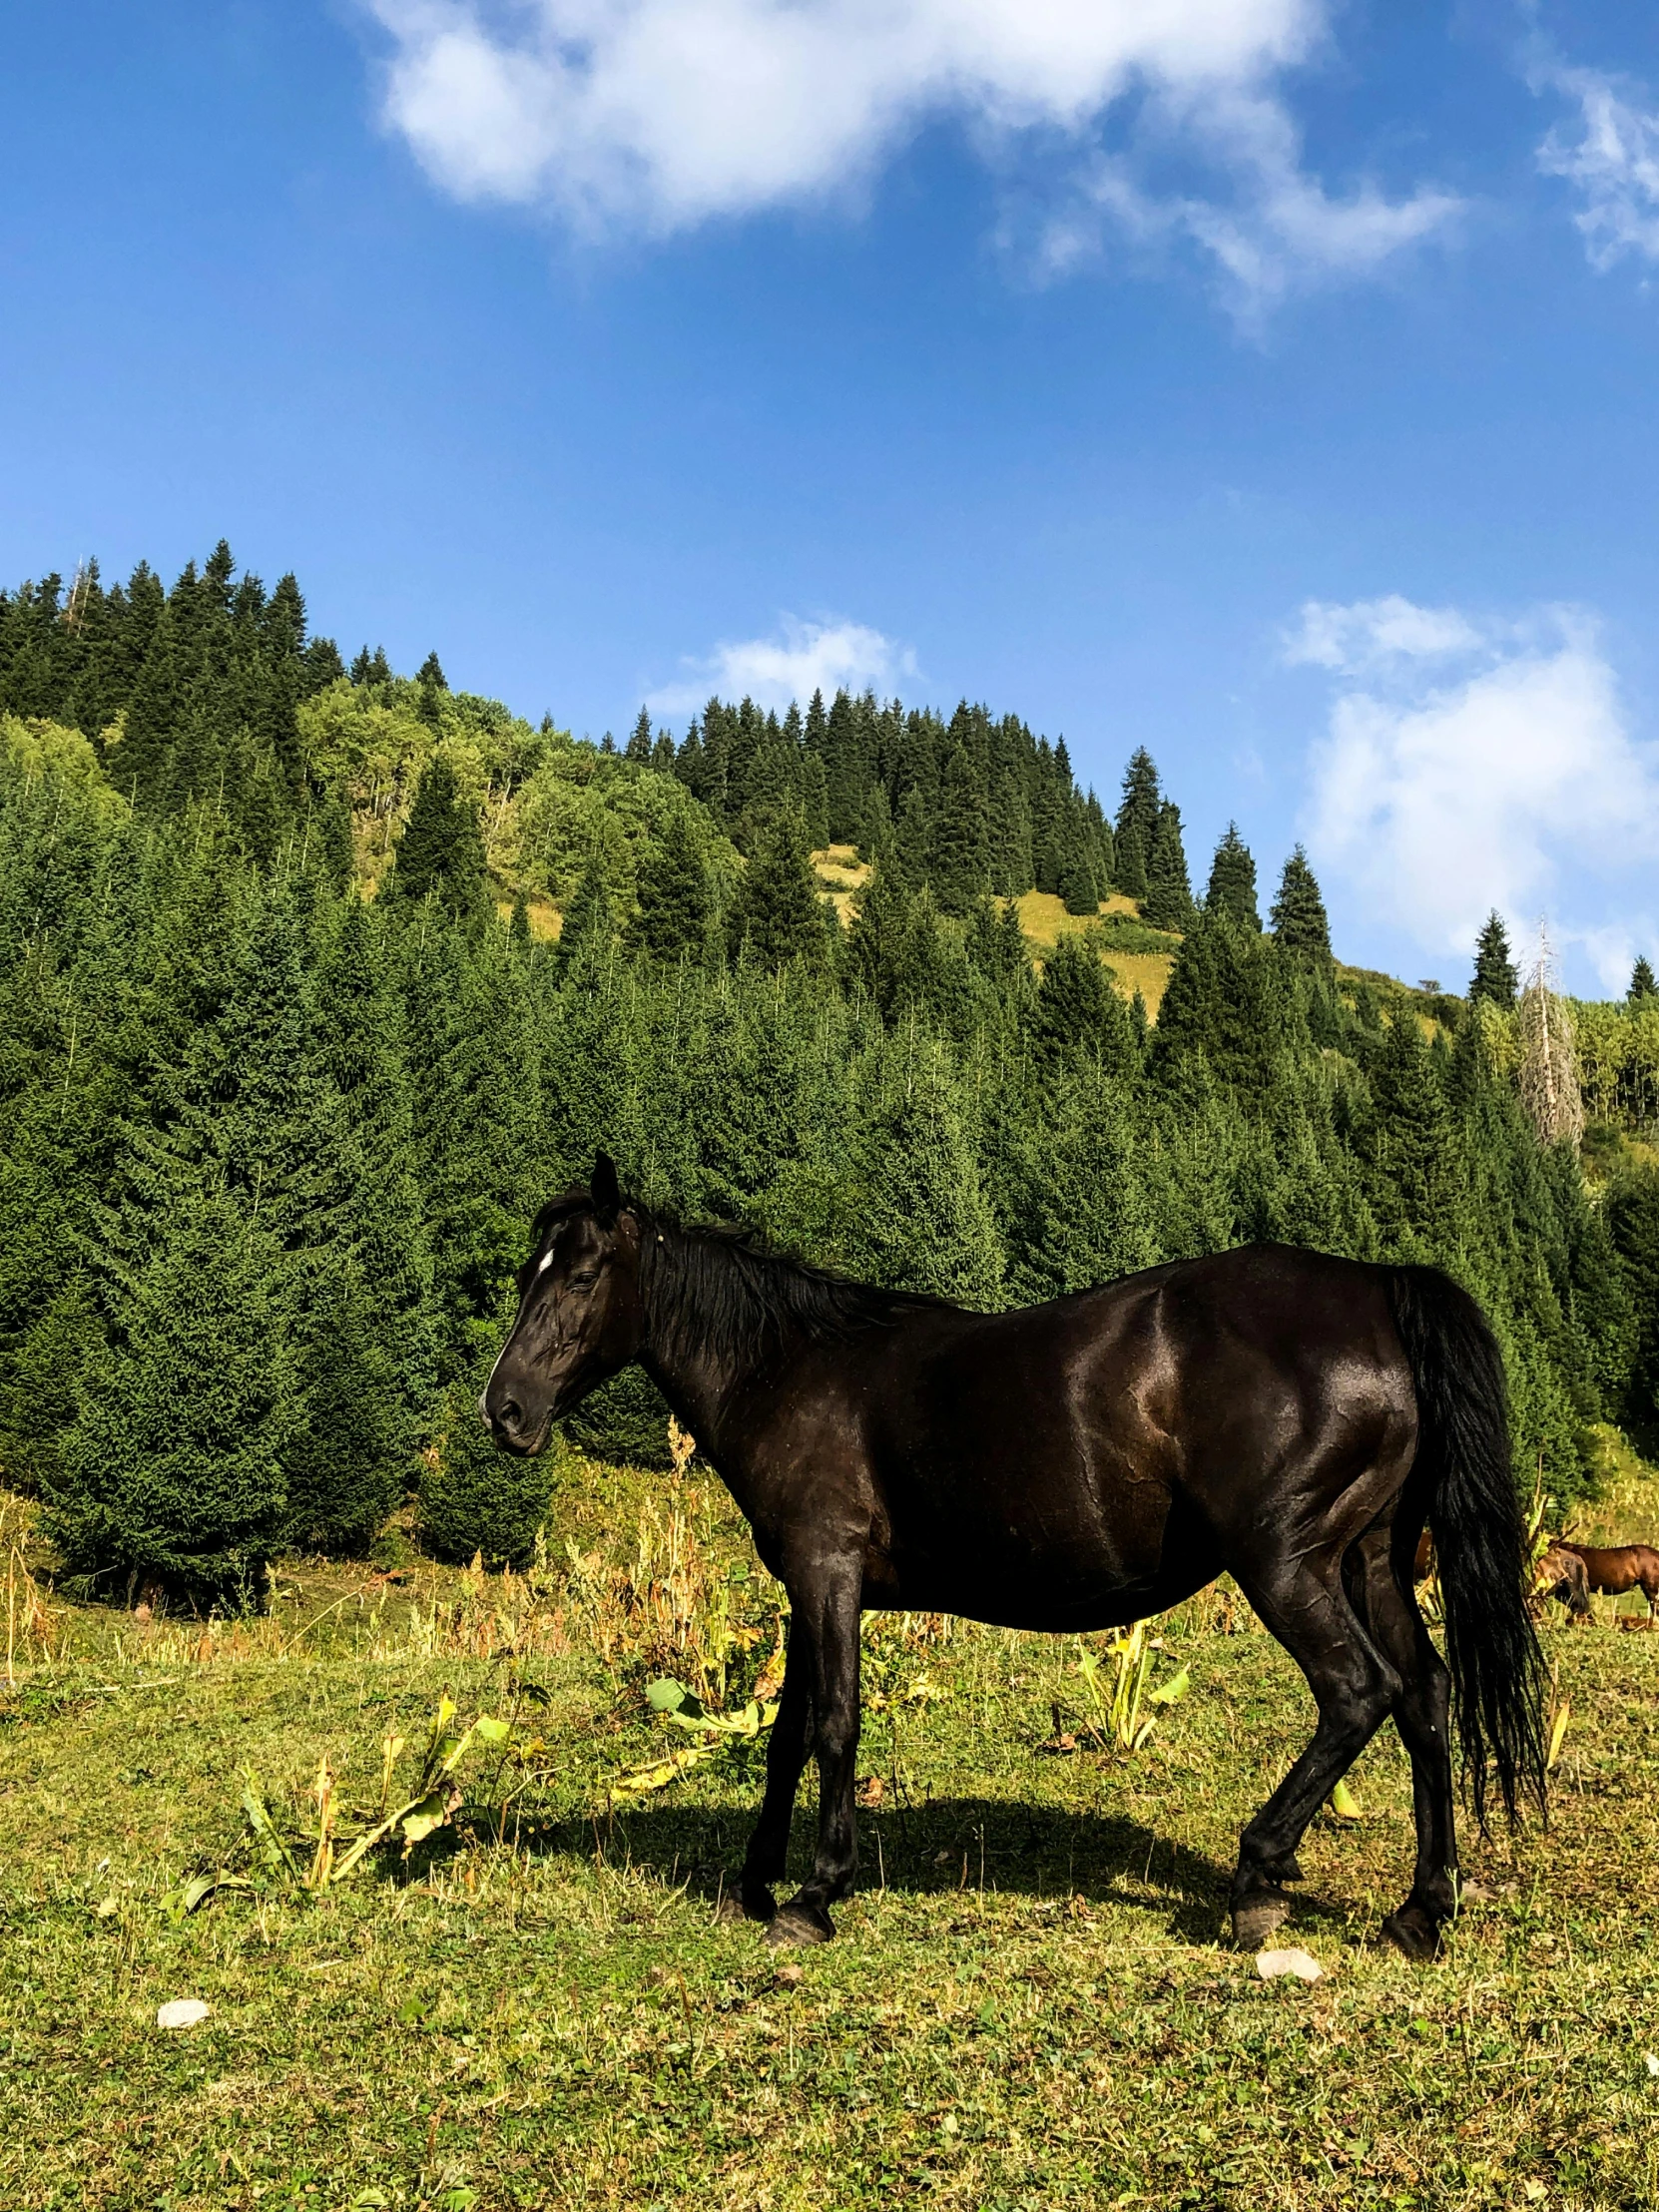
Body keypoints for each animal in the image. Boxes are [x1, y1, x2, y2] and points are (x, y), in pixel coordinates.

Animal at [486, 1159, 1557, 1954]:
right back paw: (1421, 1911)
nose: (505, 1413)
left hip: (1286, 1563)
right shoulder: (802, 1589)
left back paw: (1257, 1874)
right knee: (1425, 1696)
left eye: (578, 1276)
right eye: (527, 1273)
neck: (790, 1369)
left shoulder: (829, 1574)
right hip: (1367, 1560)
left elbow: (834, 1726)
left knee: (1357, 1693)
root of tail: (1377, 1287)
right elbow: (787, 1734)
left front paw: (815, 1895)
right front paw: (754, 1882)